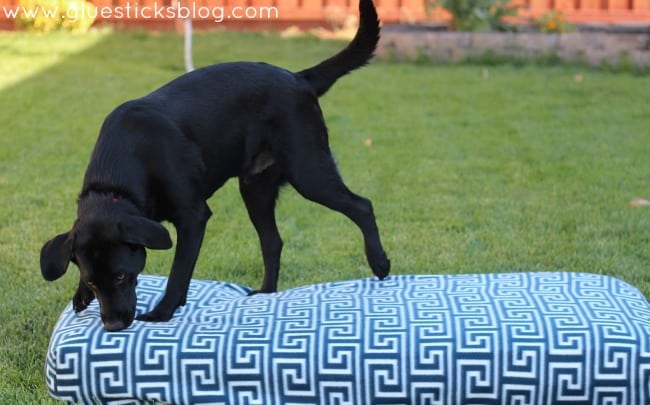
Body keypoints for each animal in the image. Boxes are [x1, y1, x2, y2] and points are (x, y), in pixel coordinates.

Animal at [41, 0, 390, 330]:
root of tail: (299, 78)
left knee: (362, 206)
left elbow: (179, 271)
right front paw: (81, 295)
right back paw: (266, 294)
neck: (114, 181)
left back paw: (380, 264)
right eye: (91, 280)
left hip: (309, 171)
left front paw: (162, 313)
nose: (112, 326)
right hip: (255, 188)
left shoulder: (193, 216)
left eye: (121, 276)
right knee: (273, 242)